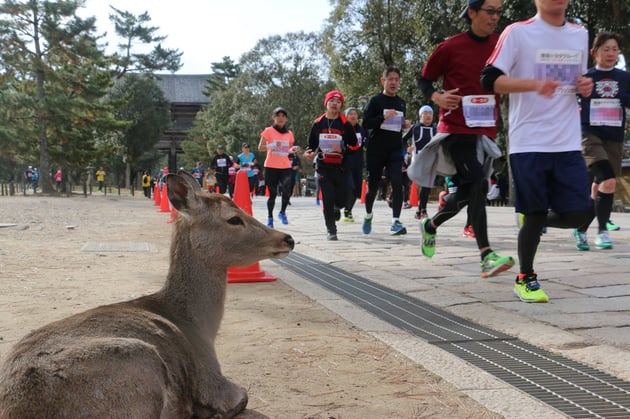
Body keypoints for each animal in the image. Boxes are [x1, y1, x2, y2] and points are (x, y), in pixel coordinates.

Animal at [0, 172, 296, 418]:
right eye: (233, 218)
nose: (287, 238)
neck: (199, 327)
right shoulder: (213, 380)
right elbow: (241, 396)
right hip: (140, 361)